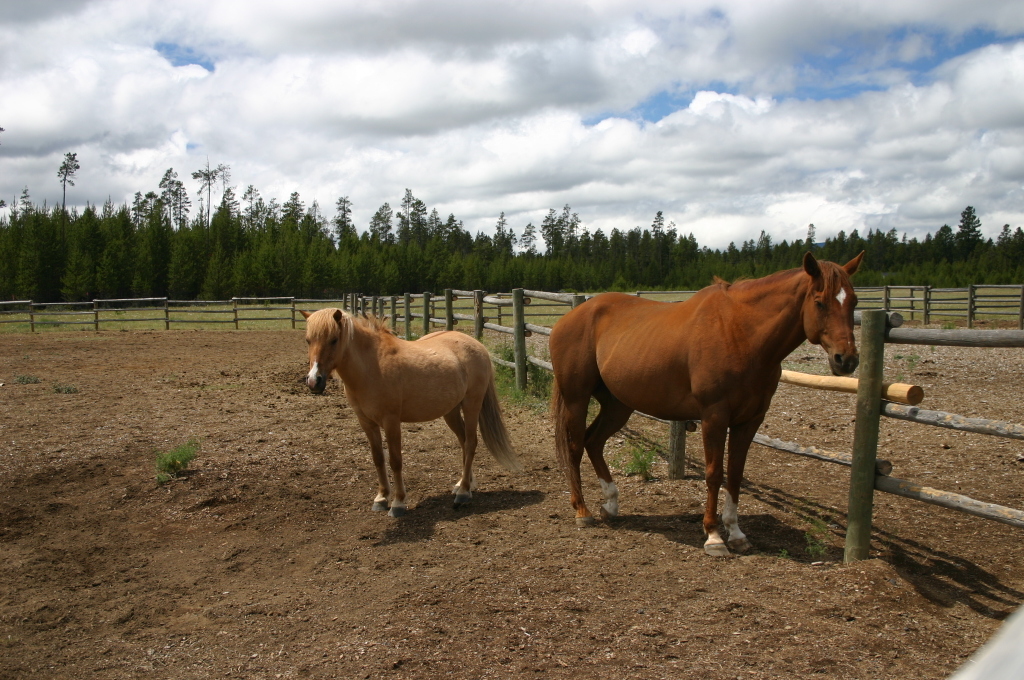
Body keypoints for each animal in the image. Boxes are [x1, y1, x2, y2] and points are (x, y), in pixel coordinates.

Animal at [296, 307, 520, 516]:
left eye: (334, 340)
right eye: (307, 340)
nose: (314, 381)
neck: (371, 365)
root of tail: (478, 346)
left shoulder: (391, 421)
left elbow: (395, 460)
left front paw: (398, 502)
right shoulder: (366, 422)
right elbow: (378, 458)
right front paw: (381, 498)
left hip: (472, 404)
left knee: (471, 443)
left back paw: (464, 493)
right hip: (451, 411)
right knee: (464, 441)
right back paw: (463, 485)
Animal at [552, 251, 864, 557]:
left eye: (854, 301)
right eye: (819, 302)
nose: (846, 359)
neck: (742, 333)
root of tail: (569, 318)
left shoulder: (750, 420)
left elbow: (735, 475)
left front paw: (736, 534)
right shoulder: (714, 416)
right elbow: (714, 474)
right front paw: (713, 536)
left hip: (618, 406)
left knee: (594, 442)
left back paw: (611, 504)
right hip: (577, 399)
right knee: (575, 447)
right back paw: (582, 511)